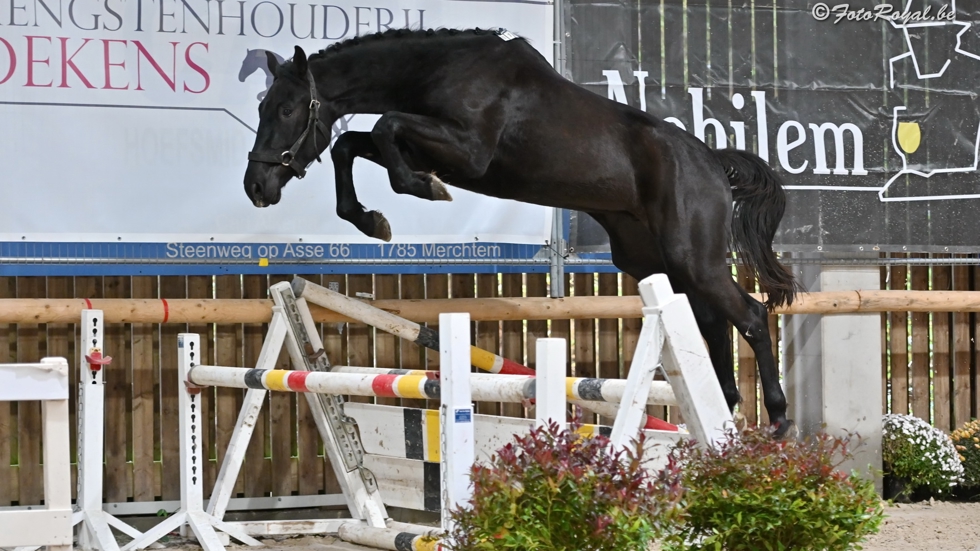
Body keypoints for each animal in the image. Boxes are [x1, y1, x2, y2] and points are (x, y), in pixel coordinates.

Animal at [241, 28, 800, 438]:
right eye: (261, 107)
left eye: (286, 109)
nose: (256, 186)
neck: (439, 70)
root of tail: (712, 161)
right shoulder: (429, 146)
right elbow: (352, 143)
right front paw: (371, 219)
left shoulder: (467, 154)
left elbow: (385, 127)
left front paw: (423, 190)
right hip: (655, 261)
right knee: (711, 321)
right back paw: (724, 410)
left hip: (691, 256)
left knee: (750, 316)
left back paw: (776, 418)